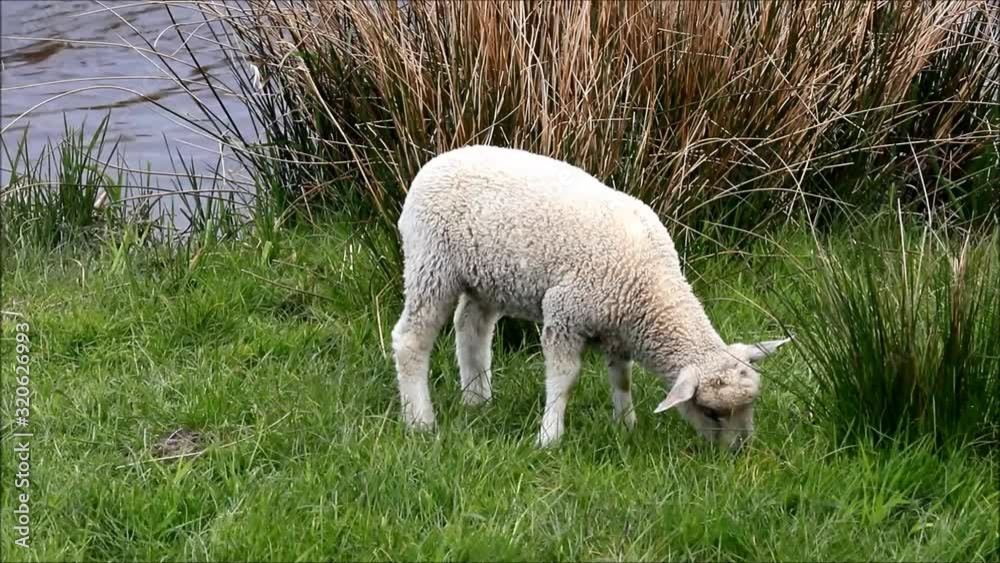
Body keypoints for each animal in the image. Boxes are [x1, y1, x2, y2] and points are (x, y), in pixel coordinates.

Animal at [391, 145, 789, 450]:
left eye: (751, 404)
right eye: (711, 412)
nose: (739, 452)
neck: (652, 285)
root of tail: (439, 160)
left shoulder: (619, 326)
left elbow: (621, 377)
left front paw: (626, 424)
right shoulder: (565, 313)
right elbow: (565, 379)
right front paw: (549, 437)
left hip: (486, 278)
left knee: (471, 329)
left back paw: (477, 401)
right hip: (432, 263)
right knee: (411, 340)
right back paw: (420, 421)